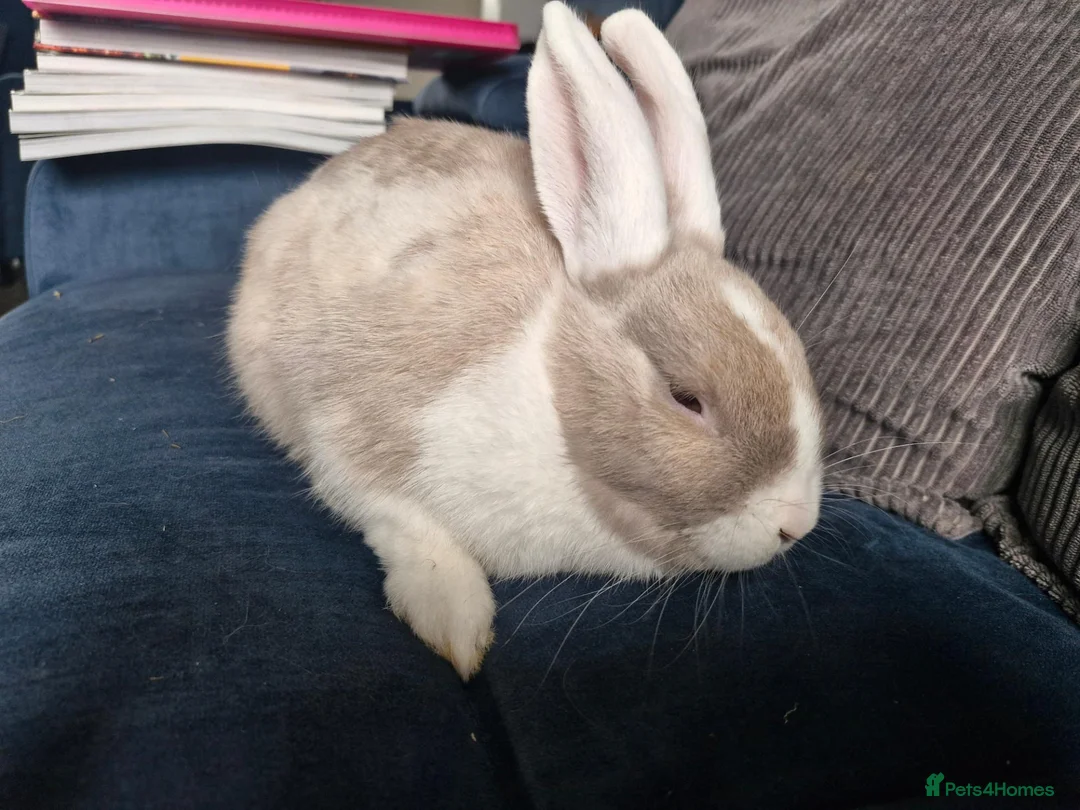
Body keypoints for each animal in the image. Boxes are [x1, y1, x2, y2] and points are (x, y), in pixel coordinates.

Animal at [225, 1, 824, 681]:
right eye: (686, 398)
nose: (796, 524)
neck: (550, 393)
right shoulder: (358, 436)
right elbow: (404, 524)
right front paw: (456, 625)